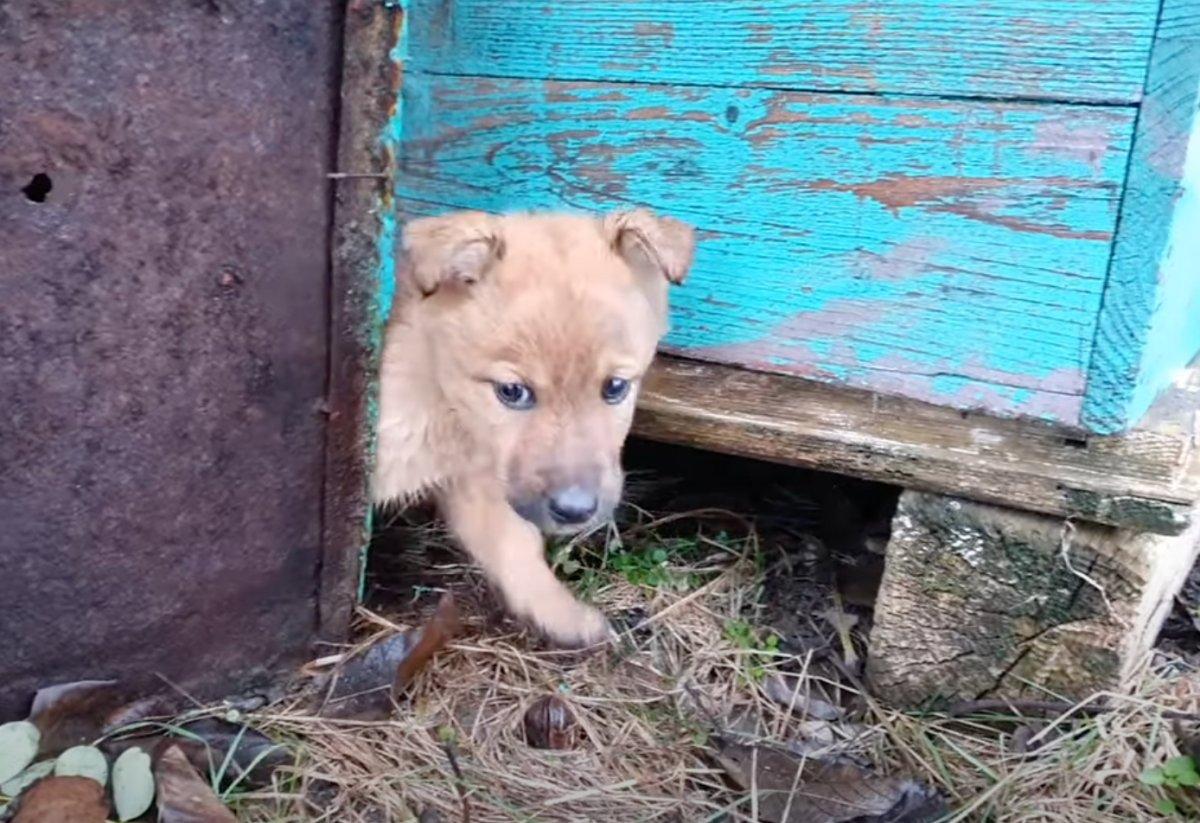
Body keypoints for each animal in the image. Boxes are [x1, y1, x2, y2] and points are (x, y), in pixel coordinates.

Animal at [372, 209, 696, 647]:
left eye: (615, 387)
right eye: (512, 391)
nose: (575, 511)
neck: (444, 401)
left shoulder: (479, 478)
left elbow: (515, 546)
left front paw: (566, 617)